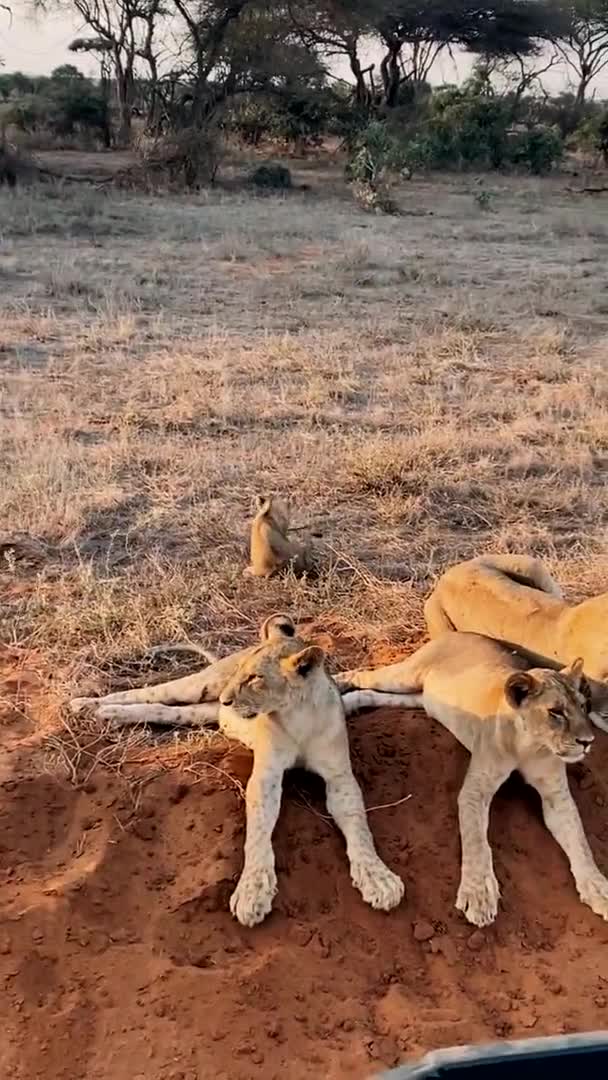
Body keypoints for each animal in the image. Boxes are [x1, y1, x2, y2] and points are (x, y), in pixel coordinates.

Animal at [70, 613, 403, 924]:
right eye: (242, 672)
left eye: (254, 678)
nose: (226, 700)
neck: (296, 714)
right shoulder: (267, 775)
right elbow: (257, 832)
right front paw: (253, 892)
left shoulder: (339, 777)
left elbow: (358, 825)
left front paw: (378, 879)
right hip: (197, 686)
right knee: (147, 693)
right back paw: (89, 705)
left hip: (199, 712)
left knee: (163, 710)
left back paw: (110, 714)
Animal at [336, 630, 608, 928]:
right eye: (556, 712)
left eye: (583, 706)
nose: (588, 742)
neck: (530, 745)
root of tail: (455, 633)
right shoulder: (476, 789)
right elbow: (476, 840)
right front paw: (478, 895)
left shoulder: (556, 797)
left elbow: (580, 842)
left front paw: (598, 889)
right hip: (405, 676)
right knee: (366, 675)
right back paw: (338, 686)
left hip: (419, 698)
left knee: (373, 694)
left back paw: (348, 704)